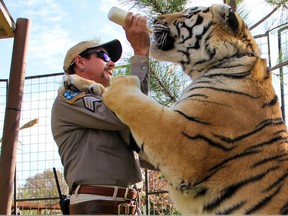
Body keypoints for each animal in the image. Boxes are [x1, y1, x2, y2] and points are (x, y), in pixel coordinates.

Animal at [64, 3, 288, 214]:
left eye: (187, 14)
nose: (154, 20)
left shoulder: (183, 143)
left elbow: (139, 106)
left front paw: (120, 82)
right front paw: (78, 81)